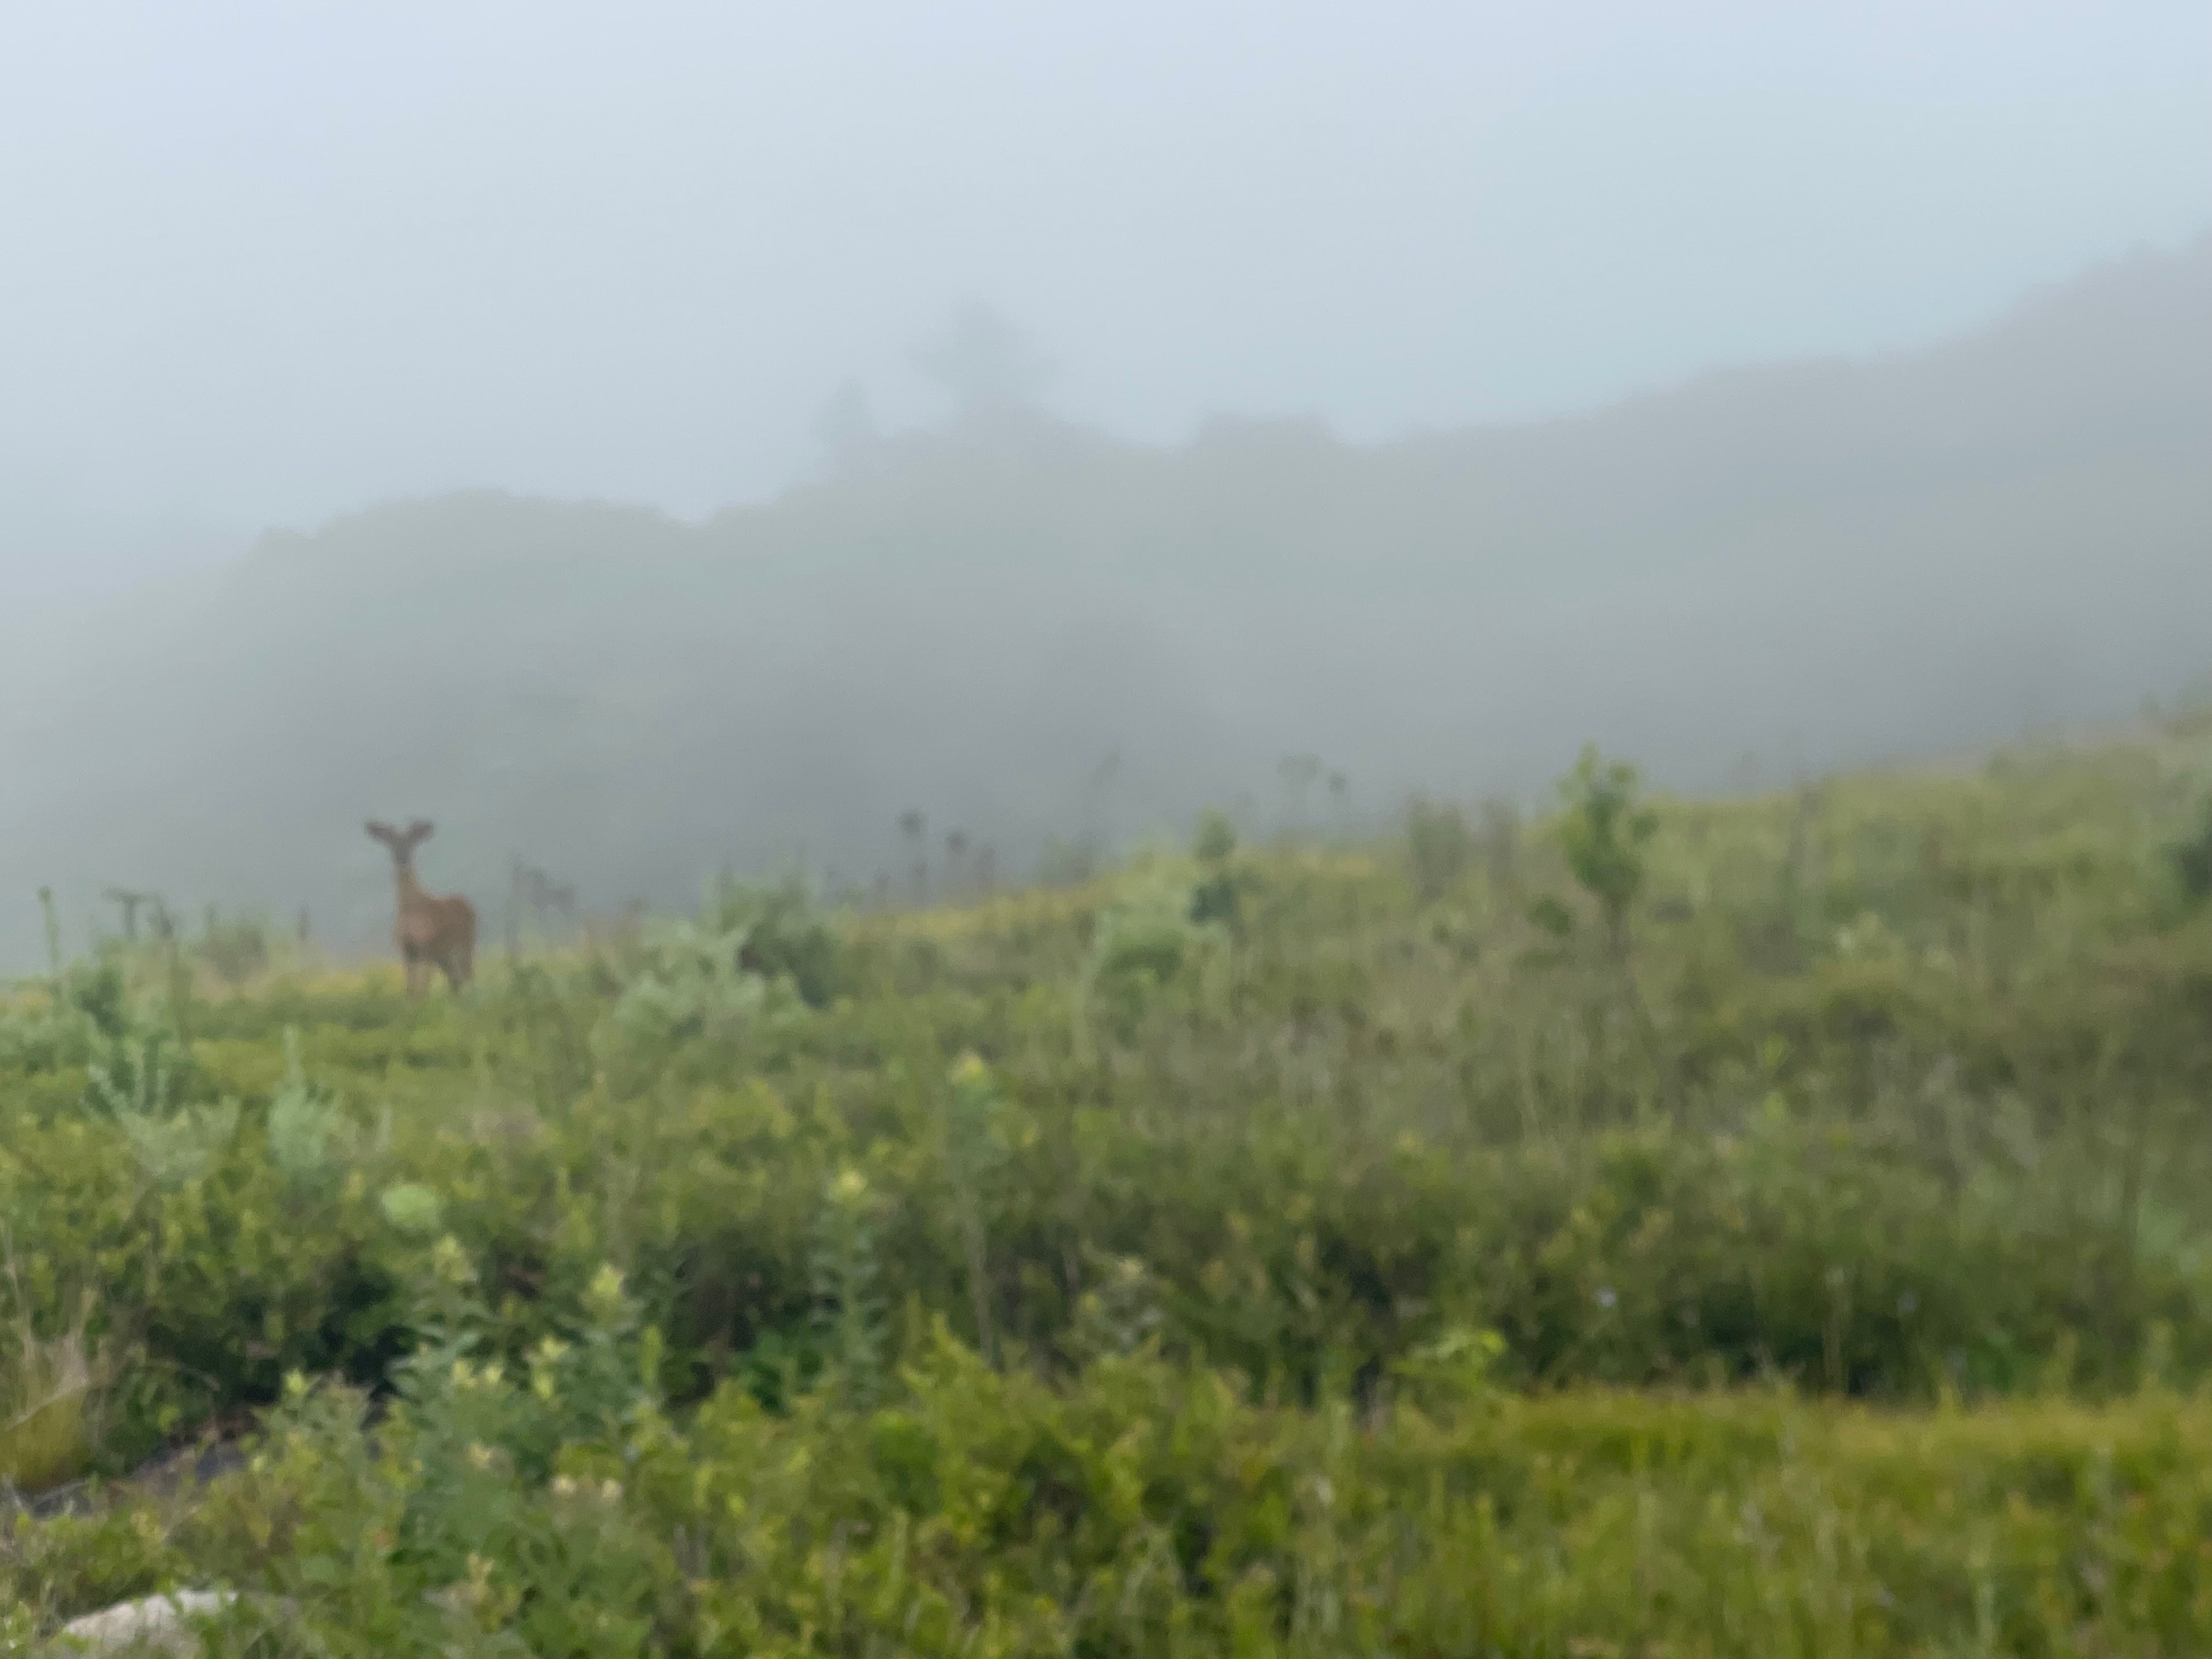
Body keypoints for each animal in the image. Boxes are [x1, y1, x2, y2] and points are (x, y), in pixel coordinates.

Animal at [365, 819, 477, 994]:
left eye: (411, 842)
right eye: (391, 843)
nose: (402, 860)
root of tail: (467, 903)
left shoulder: (427, 948)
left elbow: (423, 990)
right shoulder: (408, 952)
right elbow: (411, 989)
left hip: (466, 943)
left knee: (468, 976)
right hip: (444, 956)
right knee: (456, 981)